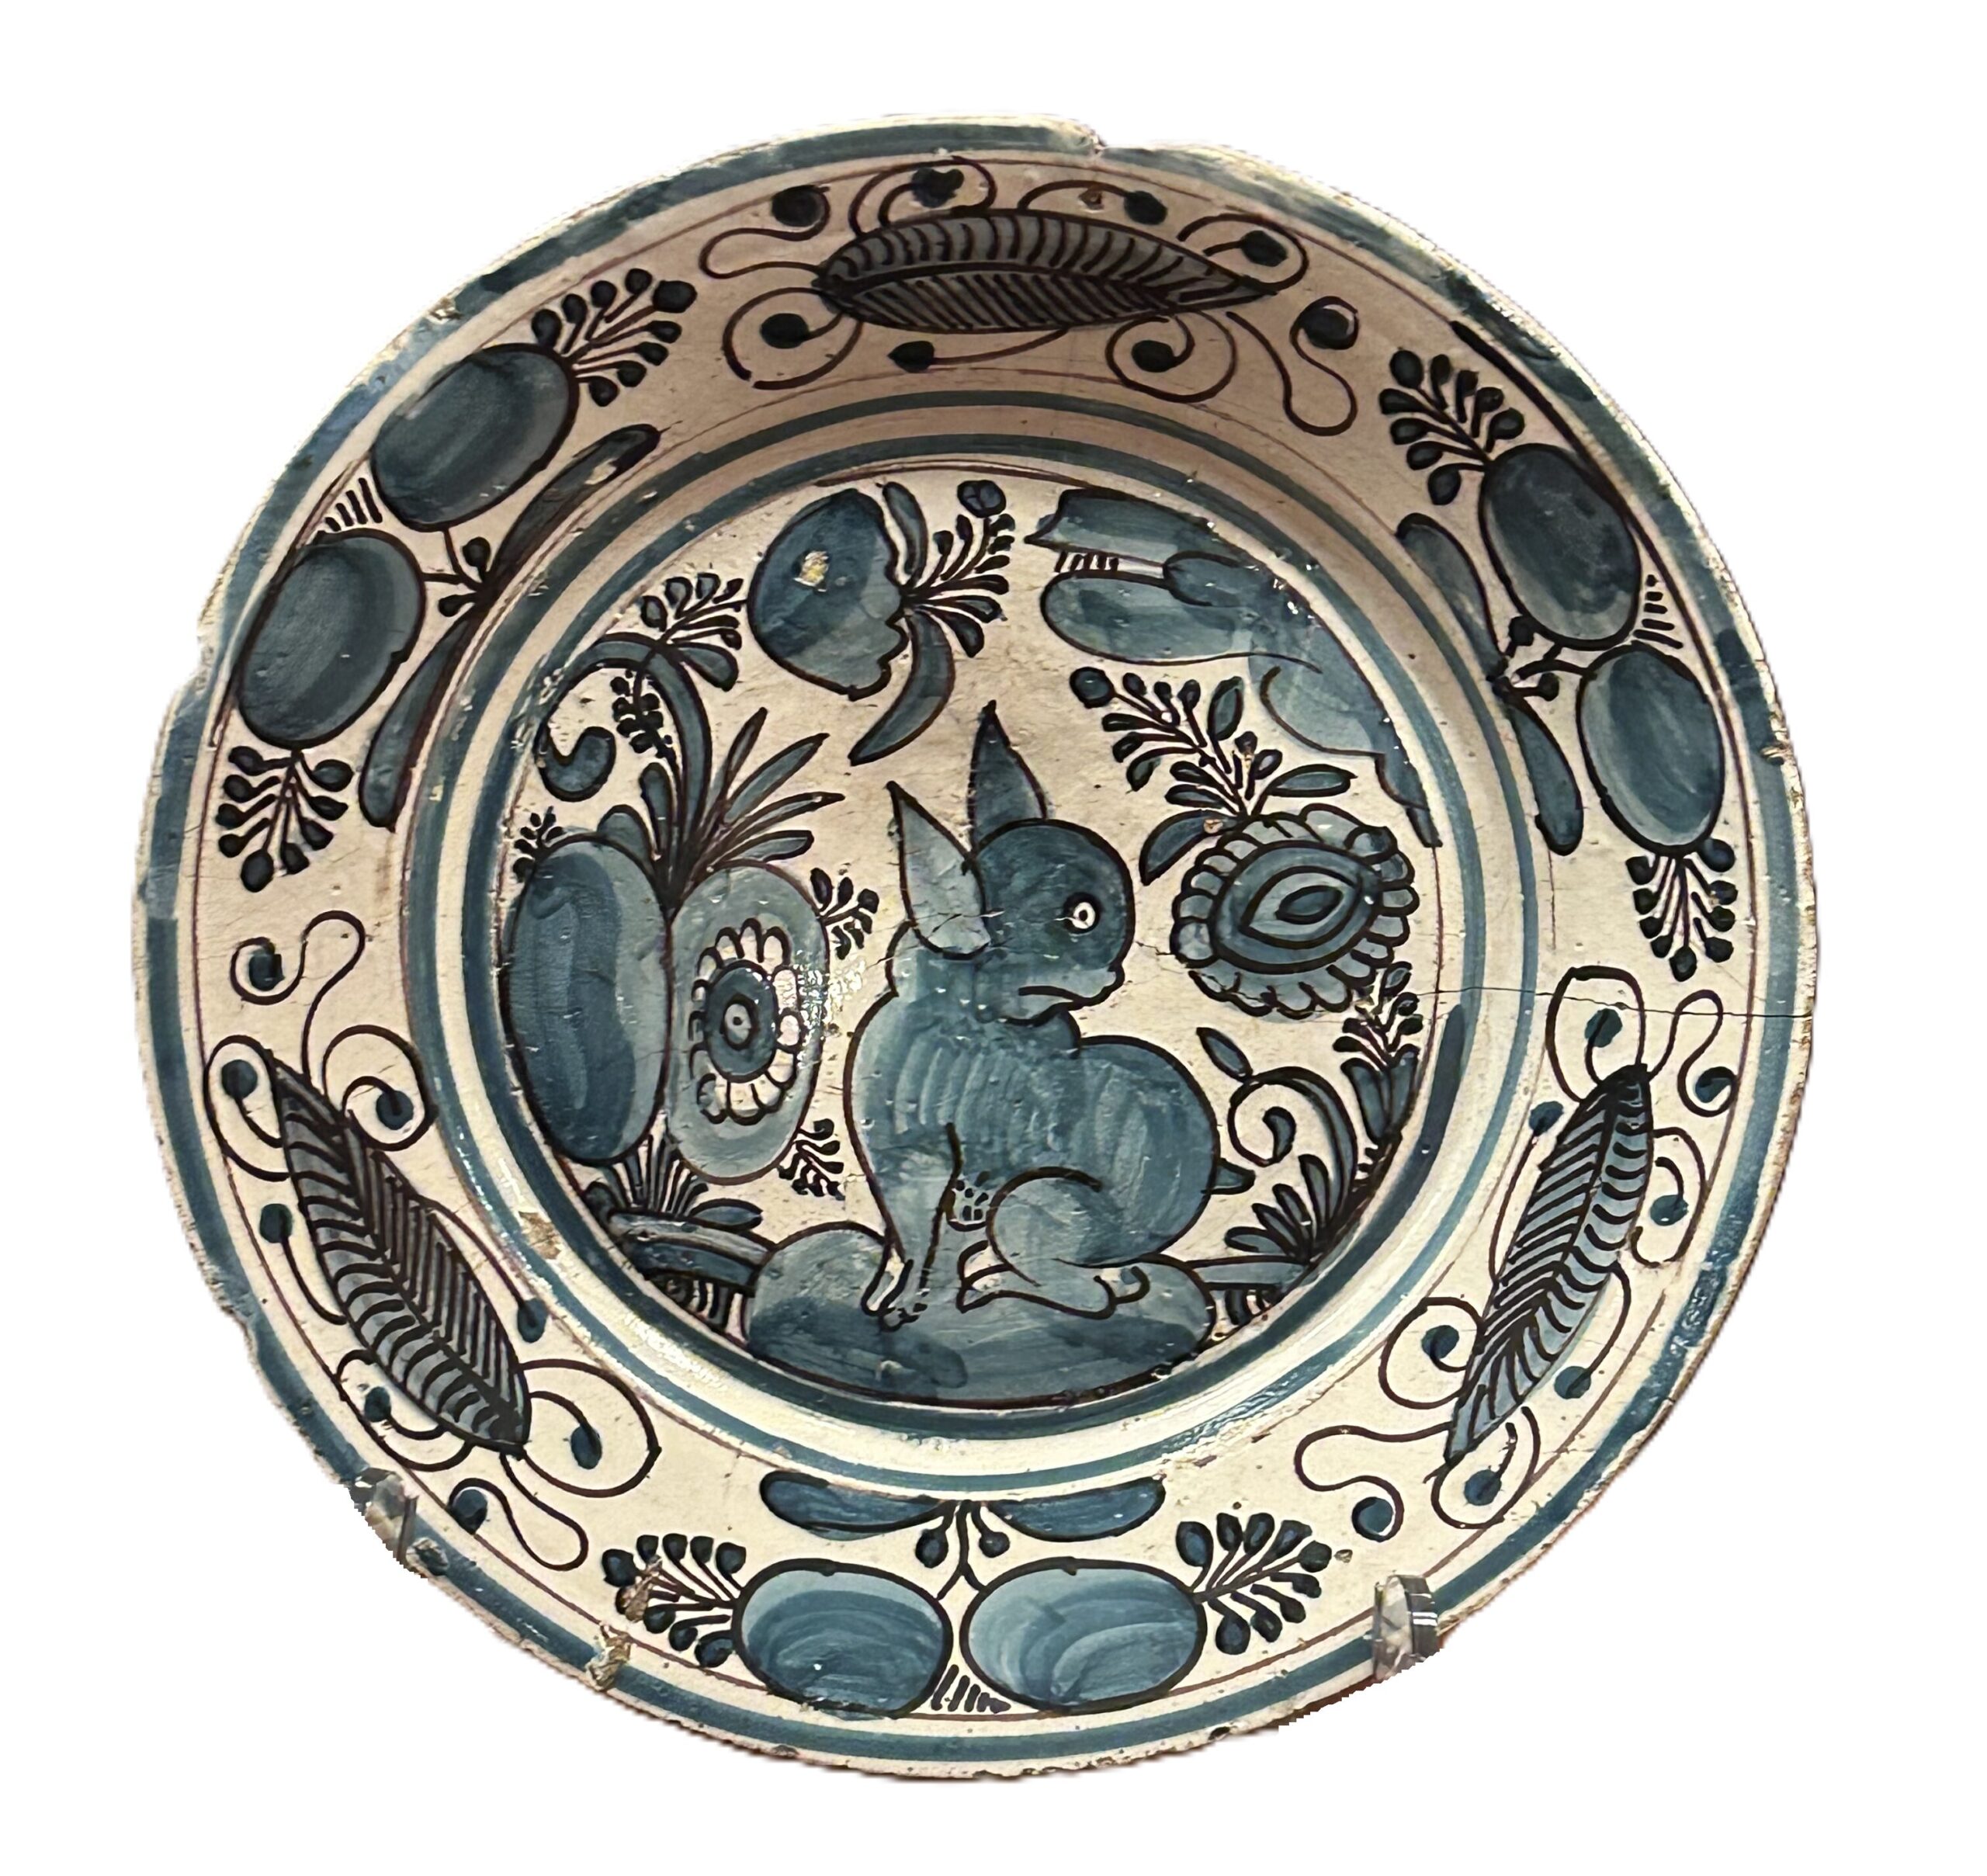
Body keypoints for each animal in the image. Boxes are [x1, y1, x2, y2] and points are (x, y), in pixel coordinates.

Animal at [743, 705, 1218, 1401]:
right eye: (1079, 914)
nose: (1112, 979)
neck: (974, 1022)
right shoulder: (905, 1150)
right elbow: (913, 1239)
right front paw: (892, 1305)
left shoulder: (982, 1140)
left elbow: (953, 1210)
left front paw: (915, 1297)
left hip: (1030, 1209)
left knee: (1087, 1292)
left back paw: (997, 1281)